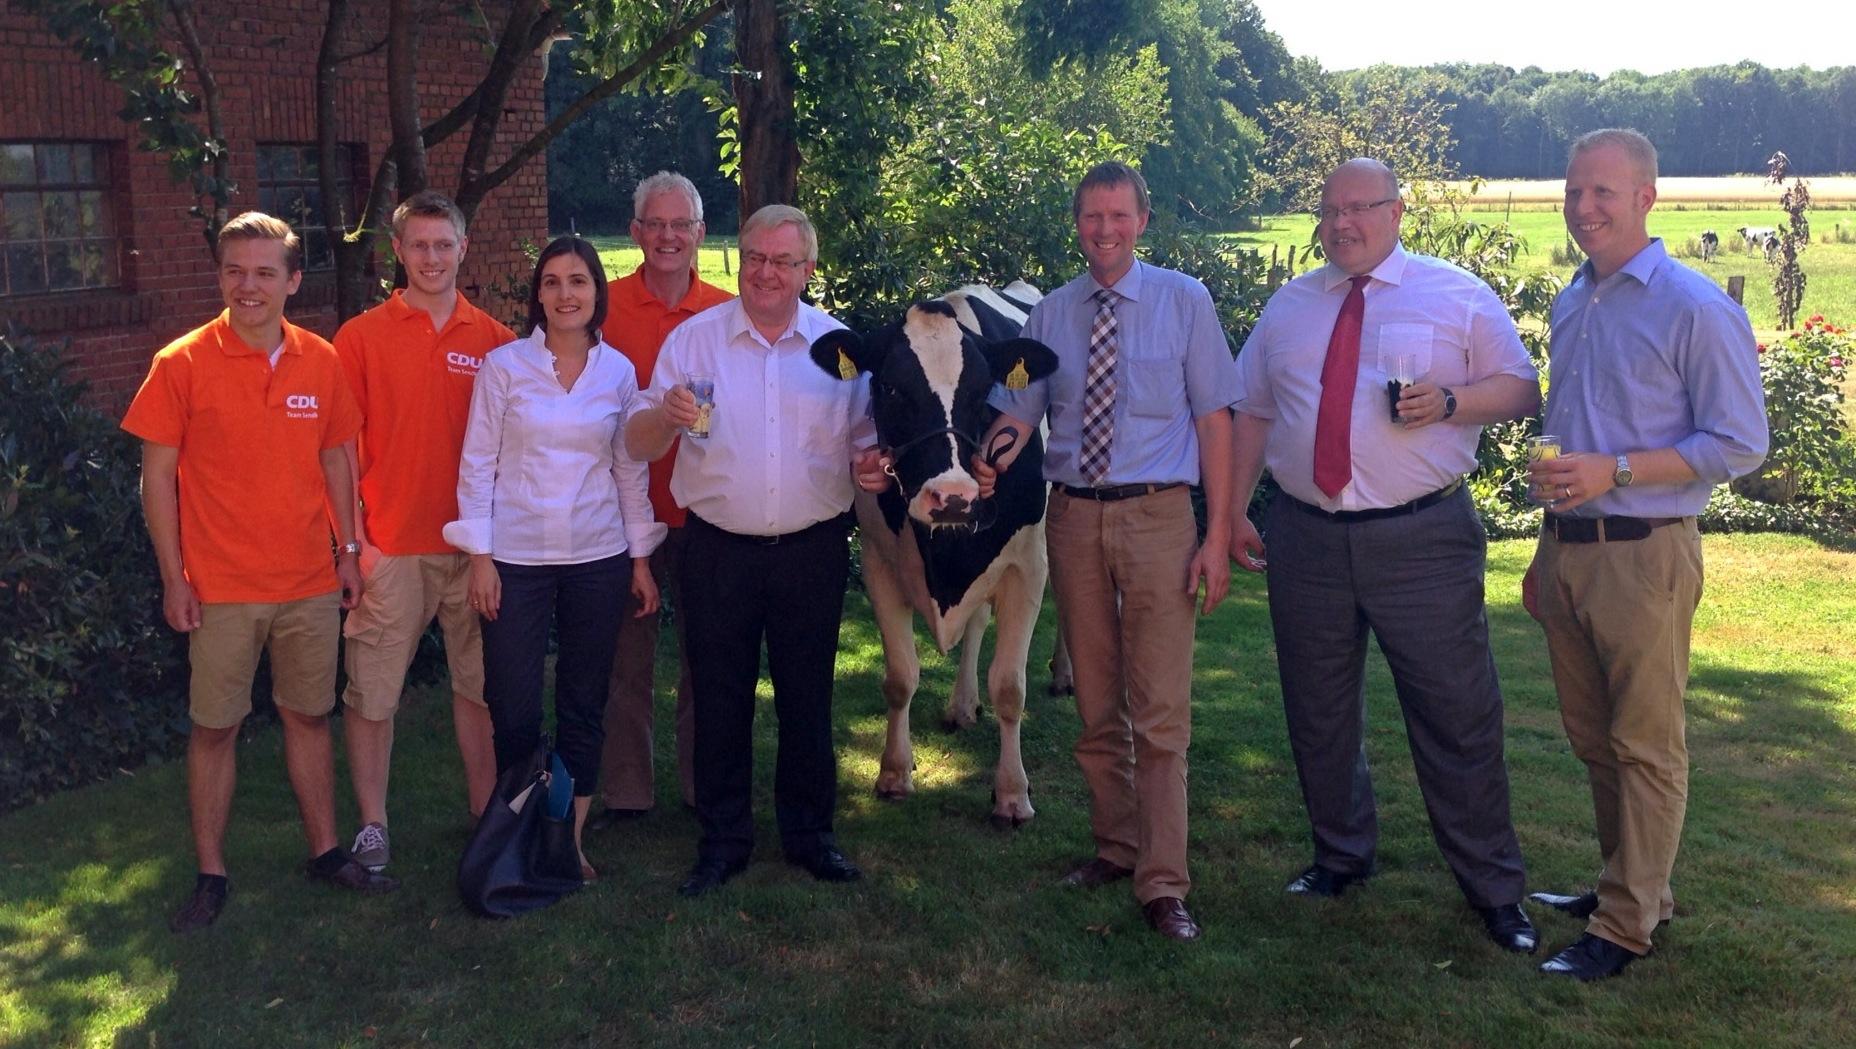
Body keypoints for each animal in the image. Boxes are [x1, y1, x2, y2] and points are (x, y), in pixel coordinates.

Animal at [809, 282, 1061, 820]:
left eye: (984, 392)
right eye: (888, 387)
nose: (953, 498)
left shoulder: (1028, 567)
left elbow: (1010, 687)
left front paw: (1013, 794)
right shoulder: (880, 563)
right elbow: (900, 678)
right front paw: (893, 774)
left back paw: (1063, 675)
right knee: (977, 624)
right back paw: (962, 704)